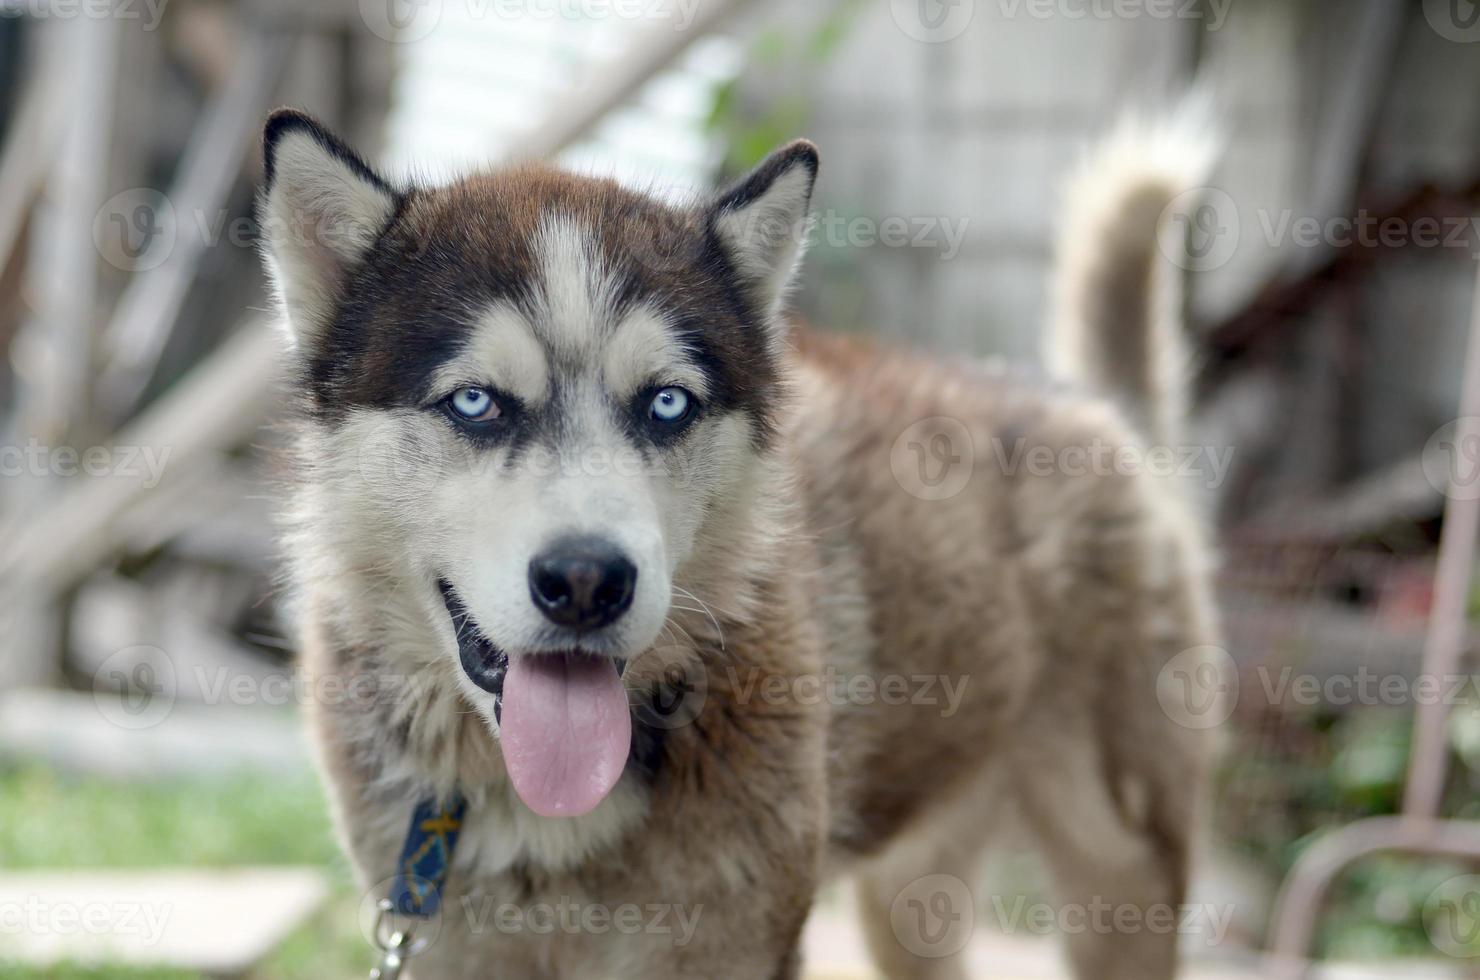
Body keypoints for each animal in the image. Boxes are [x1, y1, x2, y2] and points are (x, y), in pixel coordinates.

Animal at [260, 107, 1219, 980]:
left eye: (667, 403)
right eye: (474, 402)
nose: (587, 581)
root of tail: (1101, 412)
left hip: (1120, 875)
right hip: (912, 891)